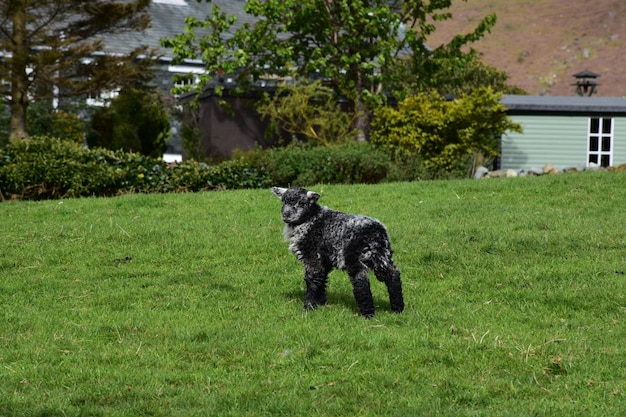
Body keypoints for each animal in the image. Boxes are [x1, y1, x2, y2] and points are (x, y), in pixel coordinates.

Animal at [270, 184, 402, 316]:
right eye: (284, 201)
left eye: (302, 203)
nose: (286, 215)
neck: (310, 219)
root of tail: (376, 232)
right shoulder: (325, 258)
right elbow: (322, 278)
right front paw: (321, 303)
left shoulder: (311, 255)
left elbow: (312, 278)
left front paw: (308, 306)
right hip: (383, 255)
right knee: (393, 275)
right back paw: (397, 309)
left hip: (354, 256)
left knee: (360, 278)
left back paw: (367, 313)